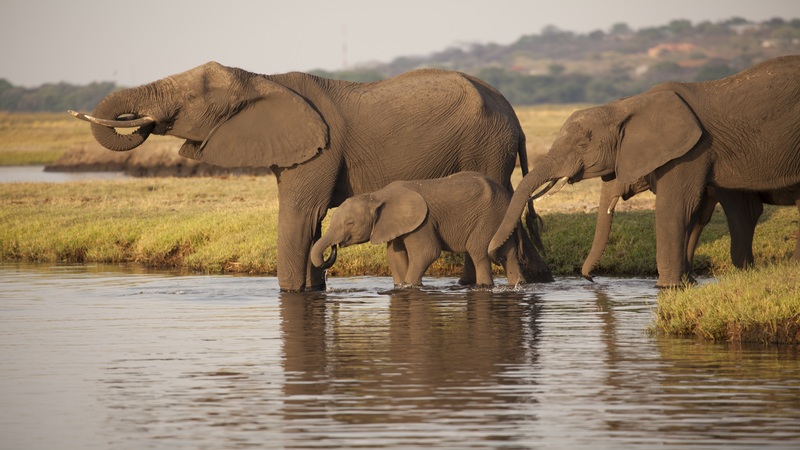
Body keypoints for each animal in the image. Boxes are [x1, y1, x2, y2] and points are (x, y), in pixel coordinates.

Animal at [310, 171, 524, 286]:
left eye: (349, 223)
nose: (333, 247)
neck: (377, 195)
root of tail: (506, 196)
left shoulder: (423, 222)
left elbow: (427, 252)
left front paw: (410, 285)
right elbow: (394, 256)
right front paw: (399, 286)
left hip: (488, 218)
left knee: (478, 252)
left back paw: (485, 286)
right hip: (499, 220)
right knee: (508, 254)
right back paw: (518, 284)